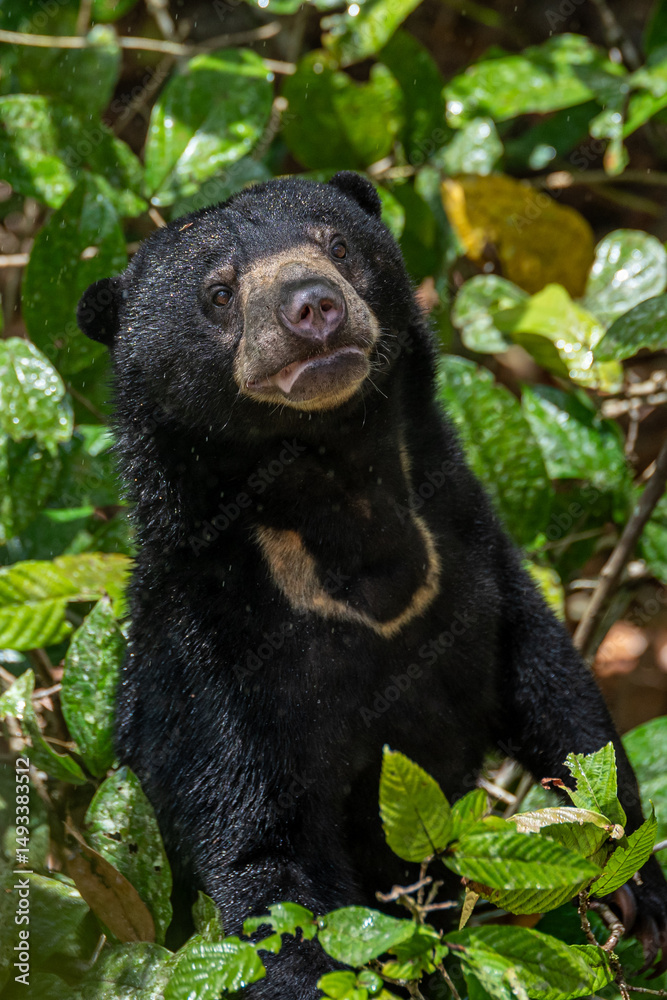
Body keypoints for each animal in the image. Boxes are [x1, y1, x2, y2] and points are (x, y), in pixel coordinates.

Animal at [77, 171, 667, 997]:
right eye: (219, 292)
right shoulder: (211, 660)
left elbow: (551, 687)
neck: (335, 493)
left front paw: (635, 892)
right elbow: (262, 852)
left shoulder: (465, 544)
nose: (313, 307)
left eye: (337, 246)